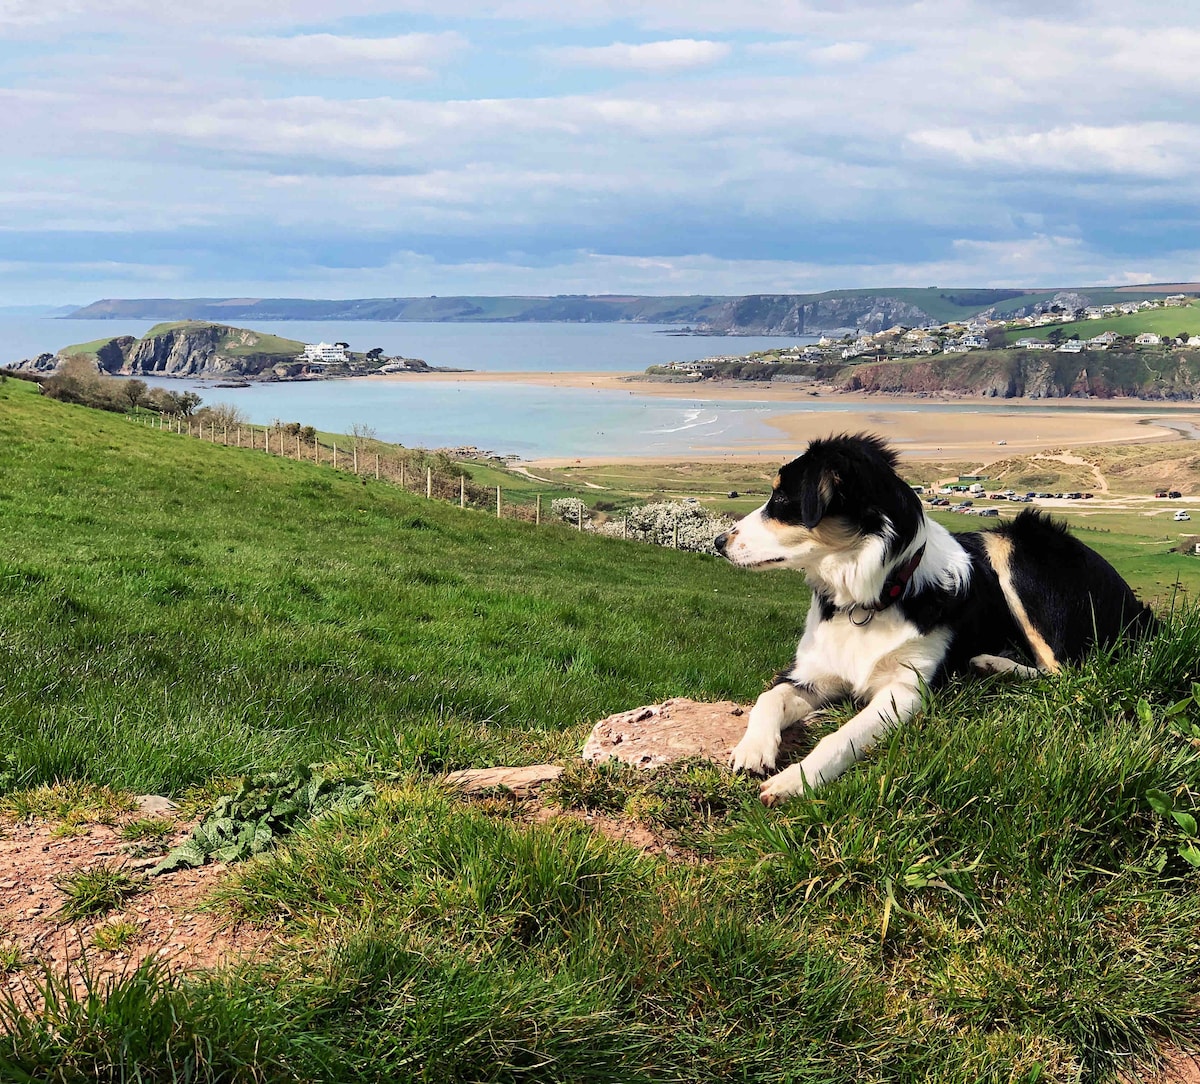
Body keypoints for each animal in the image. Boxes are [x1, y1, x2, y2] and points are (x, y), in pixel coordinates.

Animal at [710, 434, 1152, 806]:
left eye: (782, 498)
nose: (718, 542)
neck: (866, 601)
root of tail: (1137, 607)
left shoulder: (906, 691)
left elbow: (843, 736)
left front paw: (795, 779)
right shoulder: (810, 674)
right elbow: (767, 698)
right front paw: (752, 749)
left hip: (1013, 546)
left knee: (1072, 673)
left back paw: (994, 665)